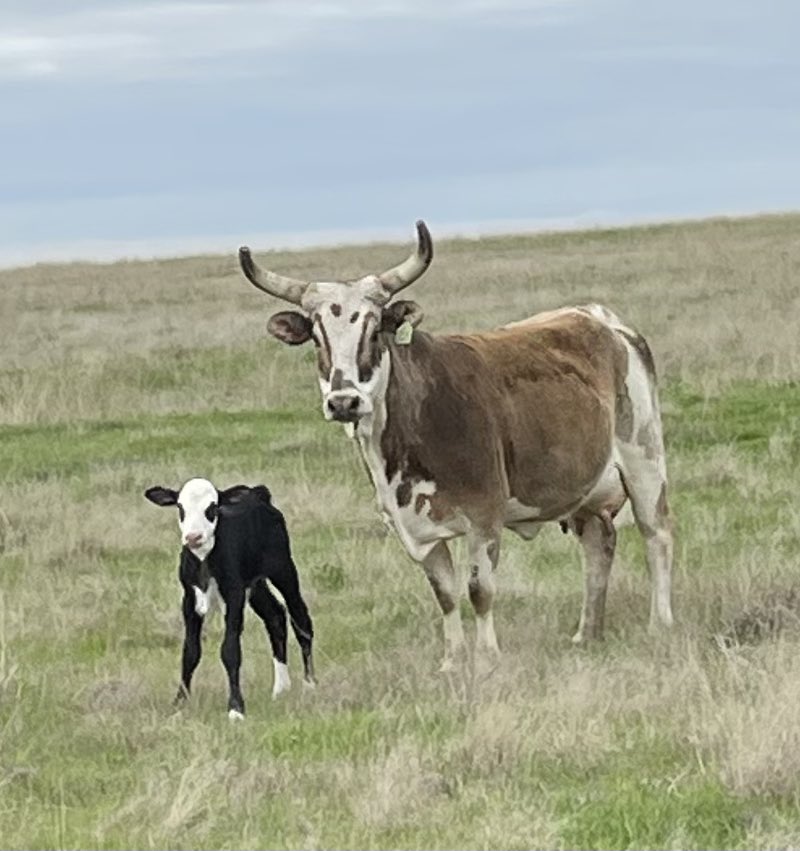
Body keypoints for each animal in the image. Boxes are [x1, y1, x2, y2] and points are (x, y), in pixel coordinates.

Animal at [145, 478, 315, 718]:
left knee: (300, 618)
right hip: (255, 584)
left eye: (212, 508)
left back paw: (310, 684)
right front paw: (179, 704)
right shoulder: (189, 599)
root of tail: (258, 493)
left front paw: (236, 708)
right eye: (180, 507)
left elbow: (230, 650)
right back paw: (281, 688)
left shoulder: (234, 595)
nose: (193, 537)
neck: (204, 561)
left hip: (282, 567)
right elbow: (190, 652)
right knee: (275, 616)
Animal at [236, 222, 673, 669]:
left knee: (656, 535)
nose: (344, 402)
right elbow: (444, 594)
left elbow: (479, 590)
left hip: (644, 460)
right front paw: (452, 660)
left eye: (374, 331)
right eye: (317, 338)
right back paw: (587, 633)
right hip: (584, 489)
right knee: (598, 546)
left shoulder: (484, 516)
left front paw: (487, 657)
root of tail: (602, 319)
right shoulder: (415, 531)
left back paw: (660, 623)